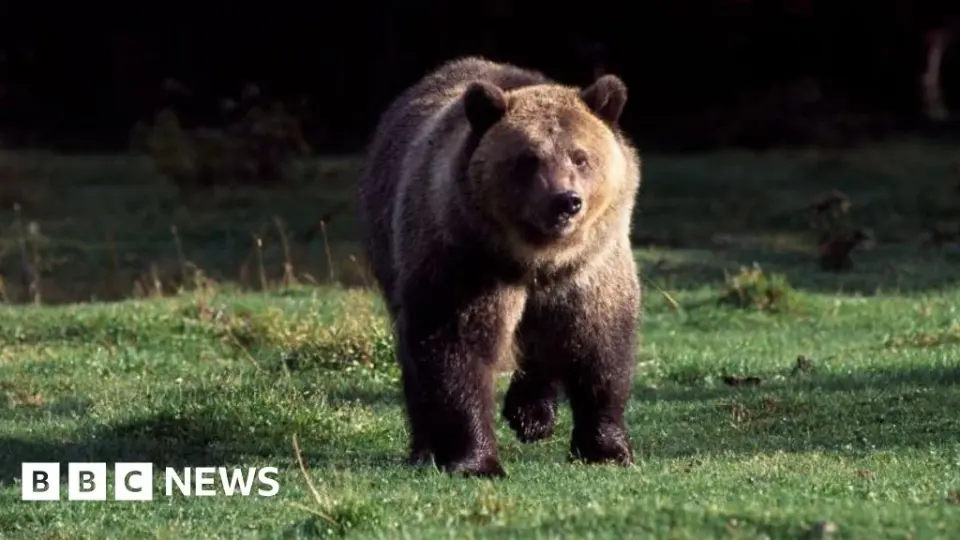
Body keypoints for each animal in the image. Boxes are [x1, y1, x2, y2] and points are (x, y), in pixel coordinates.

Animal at [355, 56, 643, 478]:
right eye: (528, 159)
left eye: (580, 156)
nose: (565, 201)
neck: (538, 258)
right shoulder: (466, 262)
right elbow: (457, 349)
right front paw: (476, 460)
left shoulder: (590, 269)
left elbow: (599, 347)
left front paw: (606, 448)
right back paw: (425, 447)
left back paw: (532, 414)